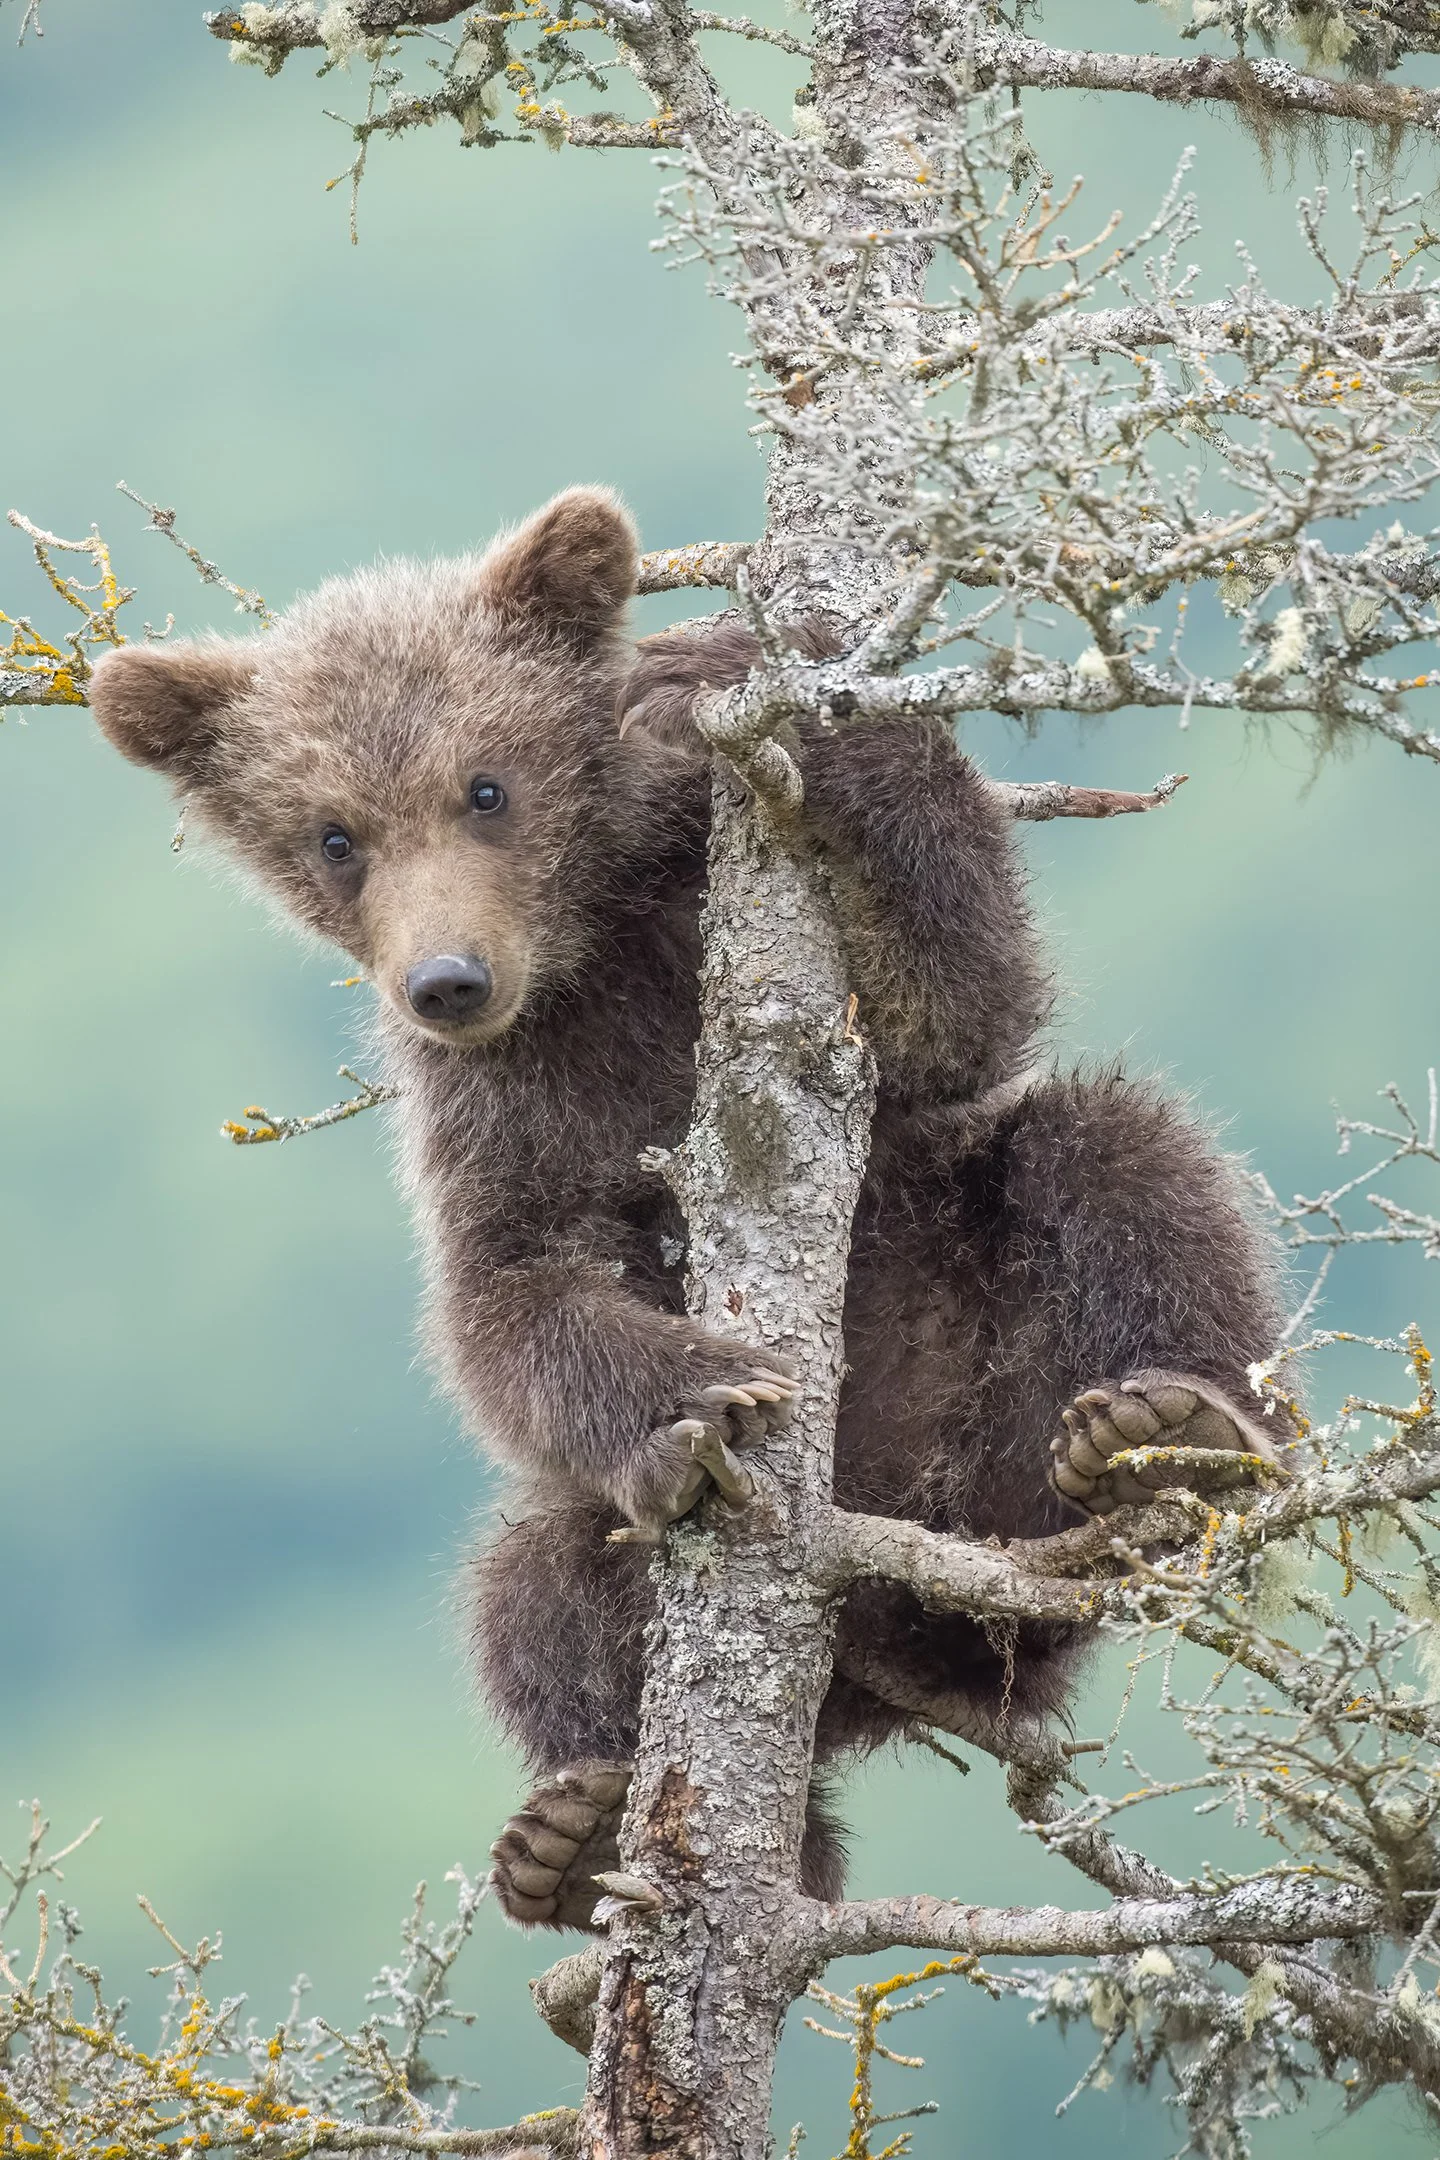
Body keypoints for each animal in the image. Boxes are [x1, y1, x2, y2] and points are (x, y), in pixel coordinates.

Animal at [88, 485, 1289, 1931]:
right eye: (334, 836)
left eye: (485, 787)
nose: (447, 979)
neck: (594, 939)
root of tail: (903, 1652)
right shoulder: (508, 1098)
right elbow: (512, 1289)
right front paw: (702, 1385)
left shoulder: (732, 936)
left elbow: (961, 1008)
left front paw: (750, 680)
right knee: (532, 1586)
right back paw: (590, 1836)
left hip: (1002, 1441)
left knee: (1117, 1160)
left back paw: (1172, 1430)